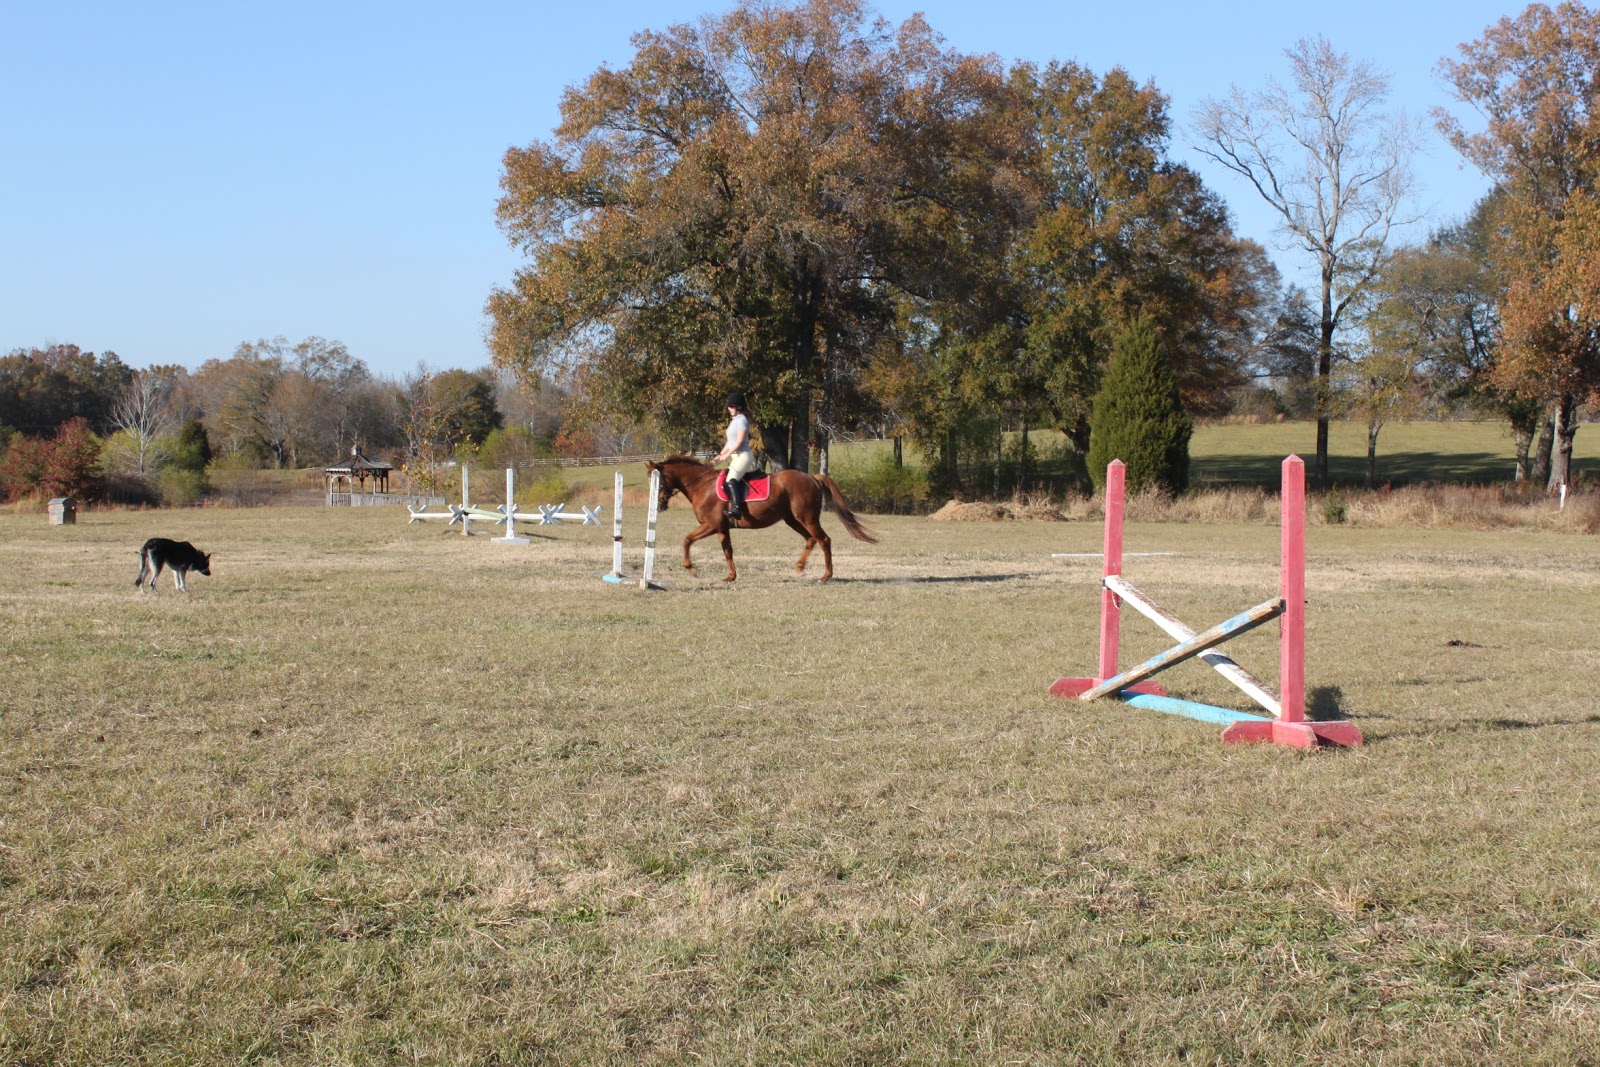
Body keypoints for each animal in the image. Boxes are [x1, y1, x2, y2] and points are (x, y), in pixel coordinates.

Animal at [645, 456, 877, 583]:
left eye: (657, 481)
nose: (659, 505)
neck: (702, 485)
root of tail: (811, 477)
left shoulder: (710, 525)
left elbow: (687, 540)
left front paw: (691, 568)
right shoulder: (721, 528)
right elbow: (728, 551)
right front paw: (730, 576)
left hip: (807, 518)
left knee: (824, 540)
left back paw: (826, 575)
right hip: (793, 520)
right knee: (811, 540)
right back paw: (800, 568)